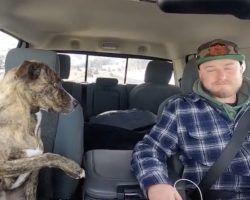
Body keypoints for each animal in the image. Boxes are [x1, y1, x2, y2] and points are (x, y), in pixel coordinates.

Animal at [0, 60, 84, 199]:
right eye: (55, 84)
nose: (76, 103)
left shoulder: (32, 178)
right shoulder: (3, 165)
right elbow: (46, 157)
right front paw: (73, 168)